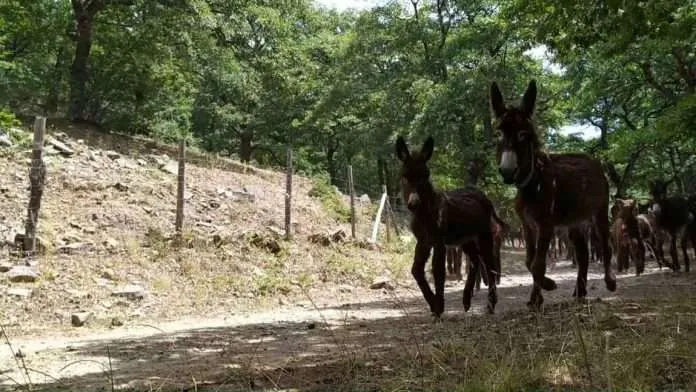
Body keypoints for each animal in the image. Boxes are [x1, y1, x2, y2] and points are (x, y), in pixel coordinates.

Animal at [396, 136, 506, 316]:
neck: (425, 214)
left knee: (489, 265)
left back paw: (490, 305)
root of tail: (482, 195)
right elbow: (416, 270)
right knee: (475, 261)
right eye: (404, 176)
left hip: (484, 235)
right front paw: (433, 304)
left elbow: (438, 271)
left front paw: (439, 308)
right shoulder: (423, 241)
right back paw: (466, 301)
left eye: (425, 176)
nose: (413, 204)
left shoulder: (438, 241)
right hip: (466, 239)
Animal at [490, 79, 616, 310]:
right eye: (498, 134)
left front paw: (543, 290)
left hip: (599, 212)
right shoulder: (528, 226)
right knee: (583, 255)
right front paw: (539, 294)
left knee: (605, 244)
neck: (533, 183)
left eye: (524, 135)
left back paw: (610, 282)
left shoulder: (546, 225)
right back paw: (580, 291)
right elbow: (529, 261)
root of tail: (592, 159)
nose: (507, 172)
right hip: (574, 223)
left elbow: (538, 263)